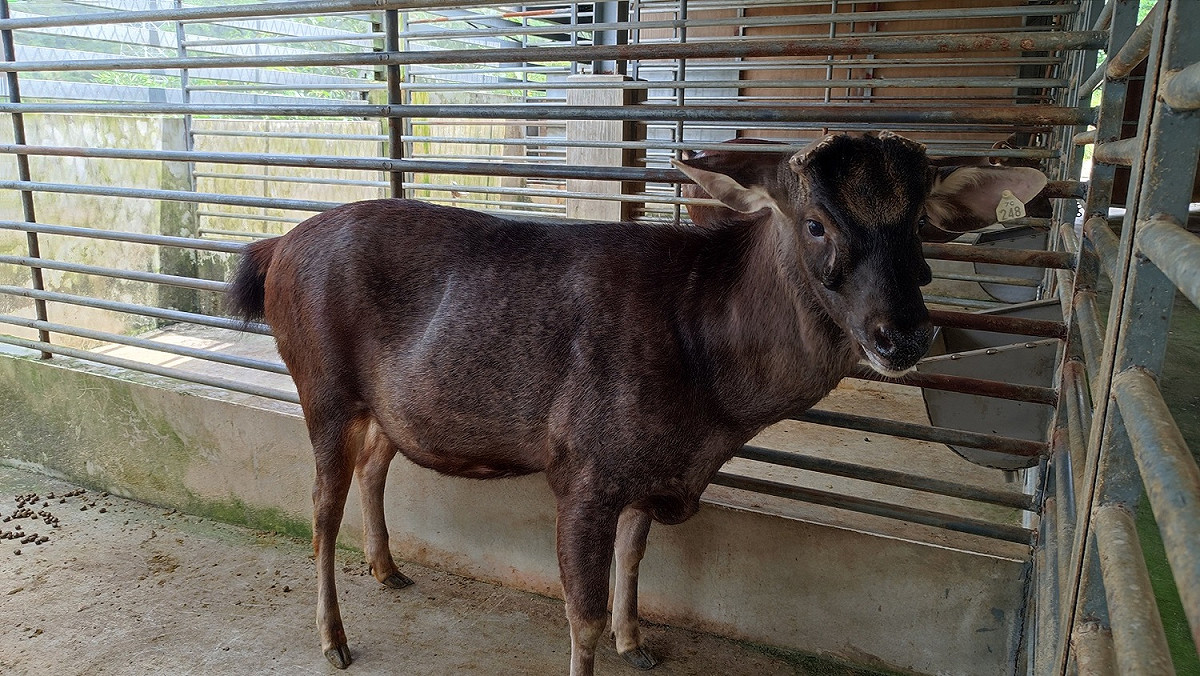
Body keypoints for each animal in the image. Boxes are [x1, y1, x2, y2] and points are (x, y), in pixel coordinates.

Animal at [226, 132, 1046, 675]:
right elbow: (580, 612)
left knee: (375, 466)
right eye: (816, 223)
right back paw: (333, 638)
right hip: (321, 387)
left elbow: (635, 555)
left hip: (387, 407)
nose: (903, 333)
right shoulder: (582, 465)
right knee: (319, 507)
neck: (709, 405)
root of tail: (271, 250)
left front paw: (638, 641)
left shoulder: (646, 471)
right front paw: (607, 641)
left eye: (919, 228)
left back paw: (389, 569)